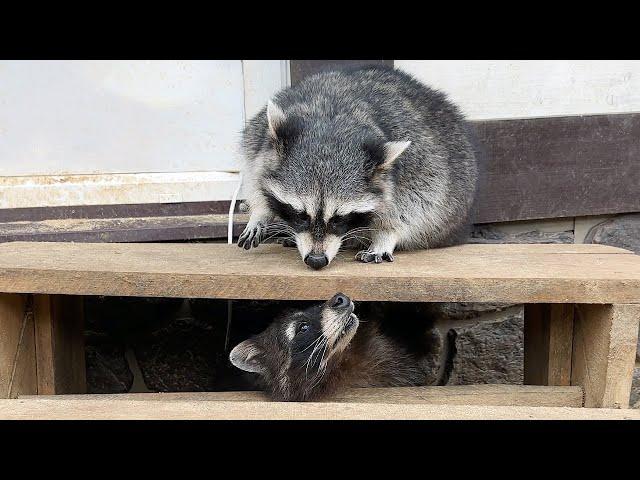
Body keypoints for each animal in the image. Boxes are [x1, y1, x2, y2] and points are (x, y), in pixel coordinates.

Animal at [238, 64, 478, 270]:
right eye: (301, 215)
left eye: (339, 219)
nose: (316, 260)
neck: (332, 123)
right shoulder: (260, 142)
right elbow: (254, 174)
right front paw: (259, 212)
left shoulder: (420, 165)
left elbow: (418, 203)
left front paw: (386, 234)